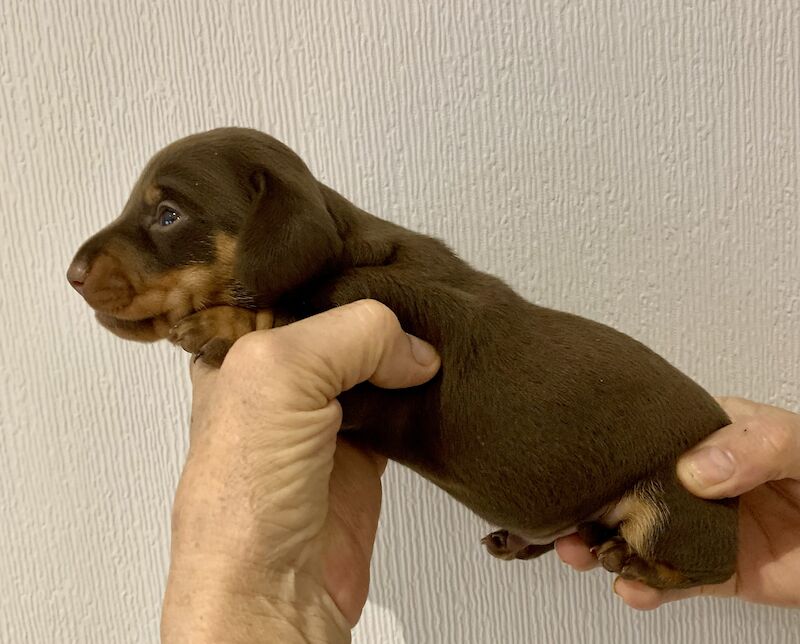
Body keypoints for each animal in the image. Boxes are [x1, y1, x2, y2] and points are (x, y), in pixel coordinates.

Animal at [69, 128, 736, 592]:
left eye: (168, 215)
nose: (71, 274)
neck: (342, 249)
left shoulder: (387, 341)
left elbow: (294, 311)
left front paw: (220, 325)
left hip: (671, 506)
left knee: (712, 567)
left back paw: (630, 559)